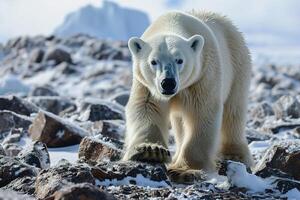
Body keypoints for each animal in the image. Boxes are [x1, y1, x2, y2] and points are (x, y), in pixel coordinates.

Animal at [122, 10, 253, 183]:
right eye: (153, 61)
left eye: (179, 60)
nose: (168, 83)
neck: (172, 22)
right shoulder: (146, 85)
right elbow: (147, 107)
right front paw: (150, 151)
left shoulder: (202, 76)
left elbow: (202, 113)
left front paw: (185, 170)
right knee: (179, 123)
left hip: (237, 66)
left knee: (233, 112)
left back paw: (235, 155)